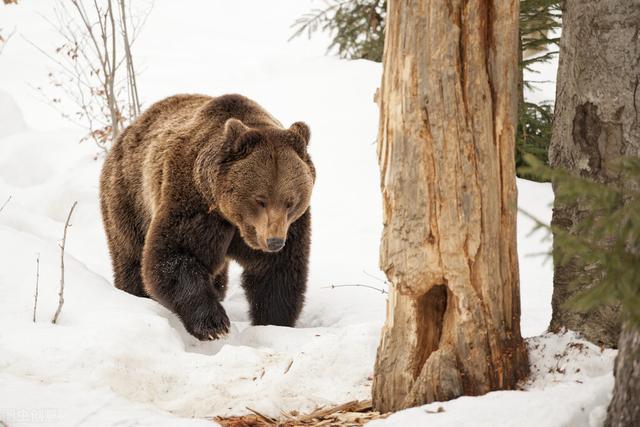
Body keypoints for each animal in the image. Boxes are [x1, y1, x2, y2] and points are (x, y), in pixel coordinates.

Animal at [99, 93, 316, 342]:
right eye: (259, 199)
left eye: (291, 201)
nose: (274, 241)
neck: (234, 218)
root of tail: (129, 130)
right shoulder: (195, 204)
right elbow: (173, 256)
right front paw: (214, 324)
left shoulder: (292, 226)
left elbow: (278, 273)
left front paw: (273, 323)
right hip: (129, 197)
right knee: (131, 257)